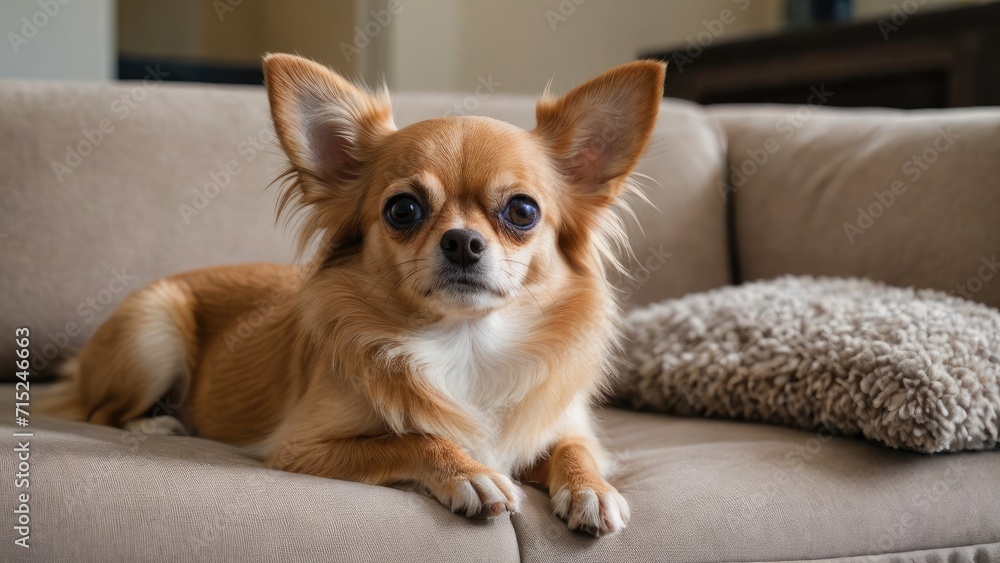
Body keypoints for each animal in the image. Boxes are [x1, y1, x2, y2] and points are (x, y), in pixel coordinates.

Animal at [45, 54, 664, 536]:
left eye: (522, 211)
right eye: (403, 209)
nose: (462, 241)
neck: (465, 341)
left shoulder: (565, 427)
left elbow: (574, 448)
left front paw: (590, 488)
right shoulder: (299, 449)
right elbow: (411, 439)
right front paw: (469, 472)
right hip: (154, 331)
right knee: (98, 411)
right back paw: (155, 423)